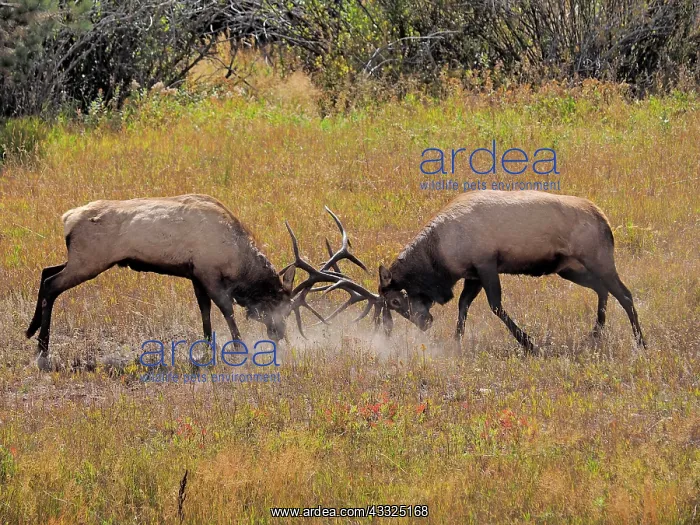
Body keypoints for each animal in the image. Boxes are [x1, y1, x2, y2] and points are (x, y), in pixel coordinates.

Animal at [25, 194, 370, 367]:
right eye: (281, 308)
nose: (279, 335)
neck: (235, 256)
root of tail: (67, 218)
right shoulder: (207, 271)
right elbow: (225, 309)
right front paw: (238, 347)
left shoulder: (194, 274)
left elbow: (204, 312)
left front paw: (207, 348)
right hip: (90, 260)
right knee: (52, 284)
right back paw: (42, 350)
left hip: (79, 259)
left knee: (45, 272)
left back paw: (31, 333)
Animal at [369, 190, 646, 353]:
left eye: (394, 300)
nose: (424, 323)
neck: (442, 255)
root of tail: (604, 220)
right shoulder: (473, 274)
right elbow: (463, 304)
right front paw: (456, 343)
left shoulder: (486, 264)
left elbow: (495, 306)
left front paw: (530, 345)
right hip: (569, 269)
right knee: (603, 290)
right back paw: (595, 335)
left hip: (599, 260)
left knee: (625, 294)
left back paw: (640, 342)